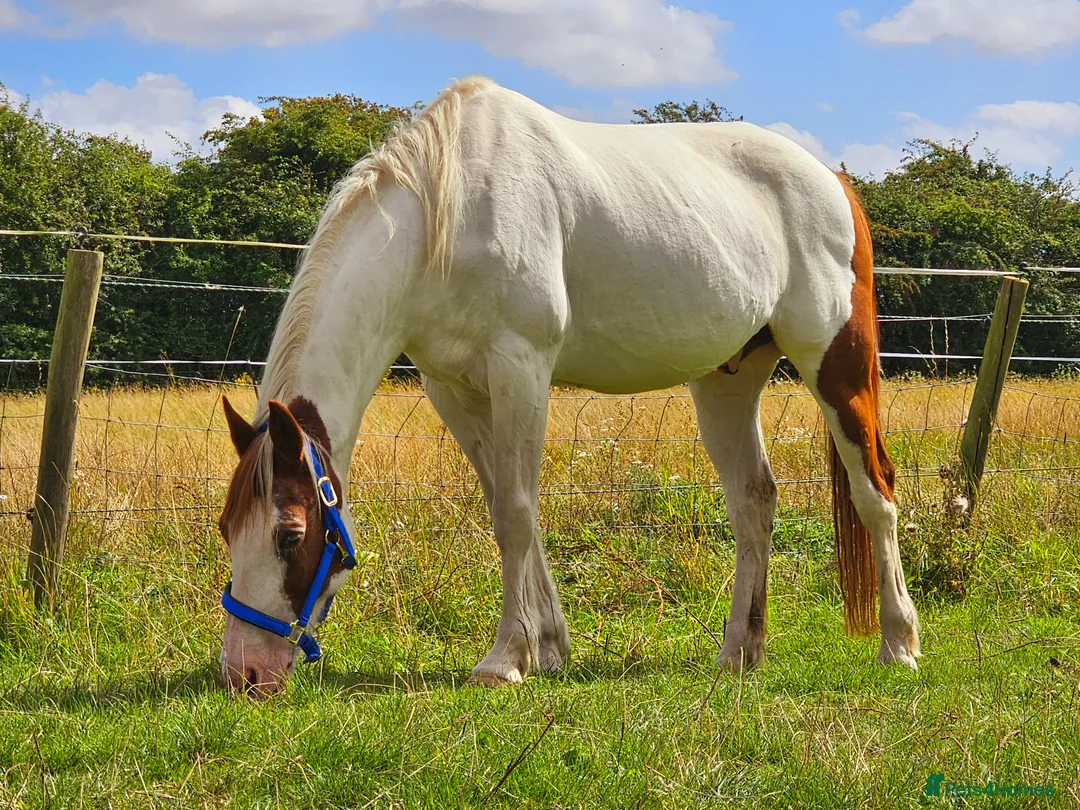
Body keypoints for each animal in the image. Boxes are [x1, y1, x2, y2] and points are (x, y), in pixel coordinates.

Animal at [216, 76, 920, 696]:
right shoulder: (454, 390)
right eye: (226, 528)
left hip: (836, 366)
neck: (448, 211)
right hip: (728, 382)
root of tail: (832, 180)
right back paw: (739, 652)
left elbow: (515, 515)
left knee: (876, 490)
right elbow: (505, 505)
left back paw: (899, 643)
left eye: (289, 535)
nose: (244, 674)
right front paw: (547, 645)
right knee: (754, 502)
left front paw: (505, 659)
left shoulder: (521, 369)